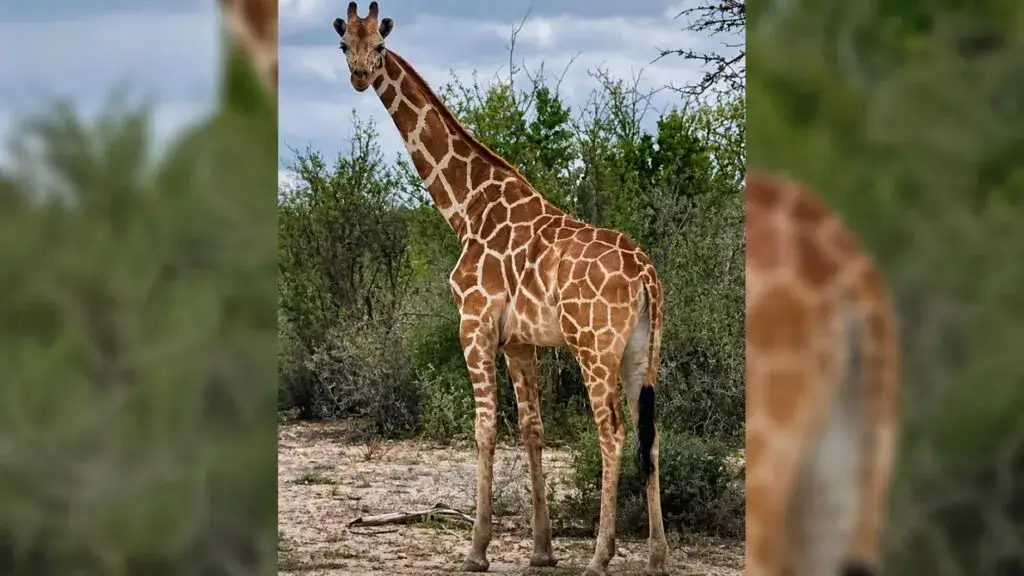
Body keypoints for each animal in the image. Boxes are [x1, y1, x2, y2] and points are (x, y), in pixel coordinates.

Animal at [332, 3, 669, 575]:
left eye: (378, 45)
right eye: (343, 44)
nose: (357, 75)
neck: (466, 208)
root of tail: (646, 274)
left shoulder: (475, 323)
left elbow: (485, 428)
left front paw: (476, 550)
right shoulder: (520, 341)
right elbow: (532, 429)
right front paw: (541, 550)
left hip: (594, 347)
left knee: (614, 431)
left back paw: (601, 556)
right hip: (642, 351)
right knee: (652, 433)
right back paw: (657, 556)